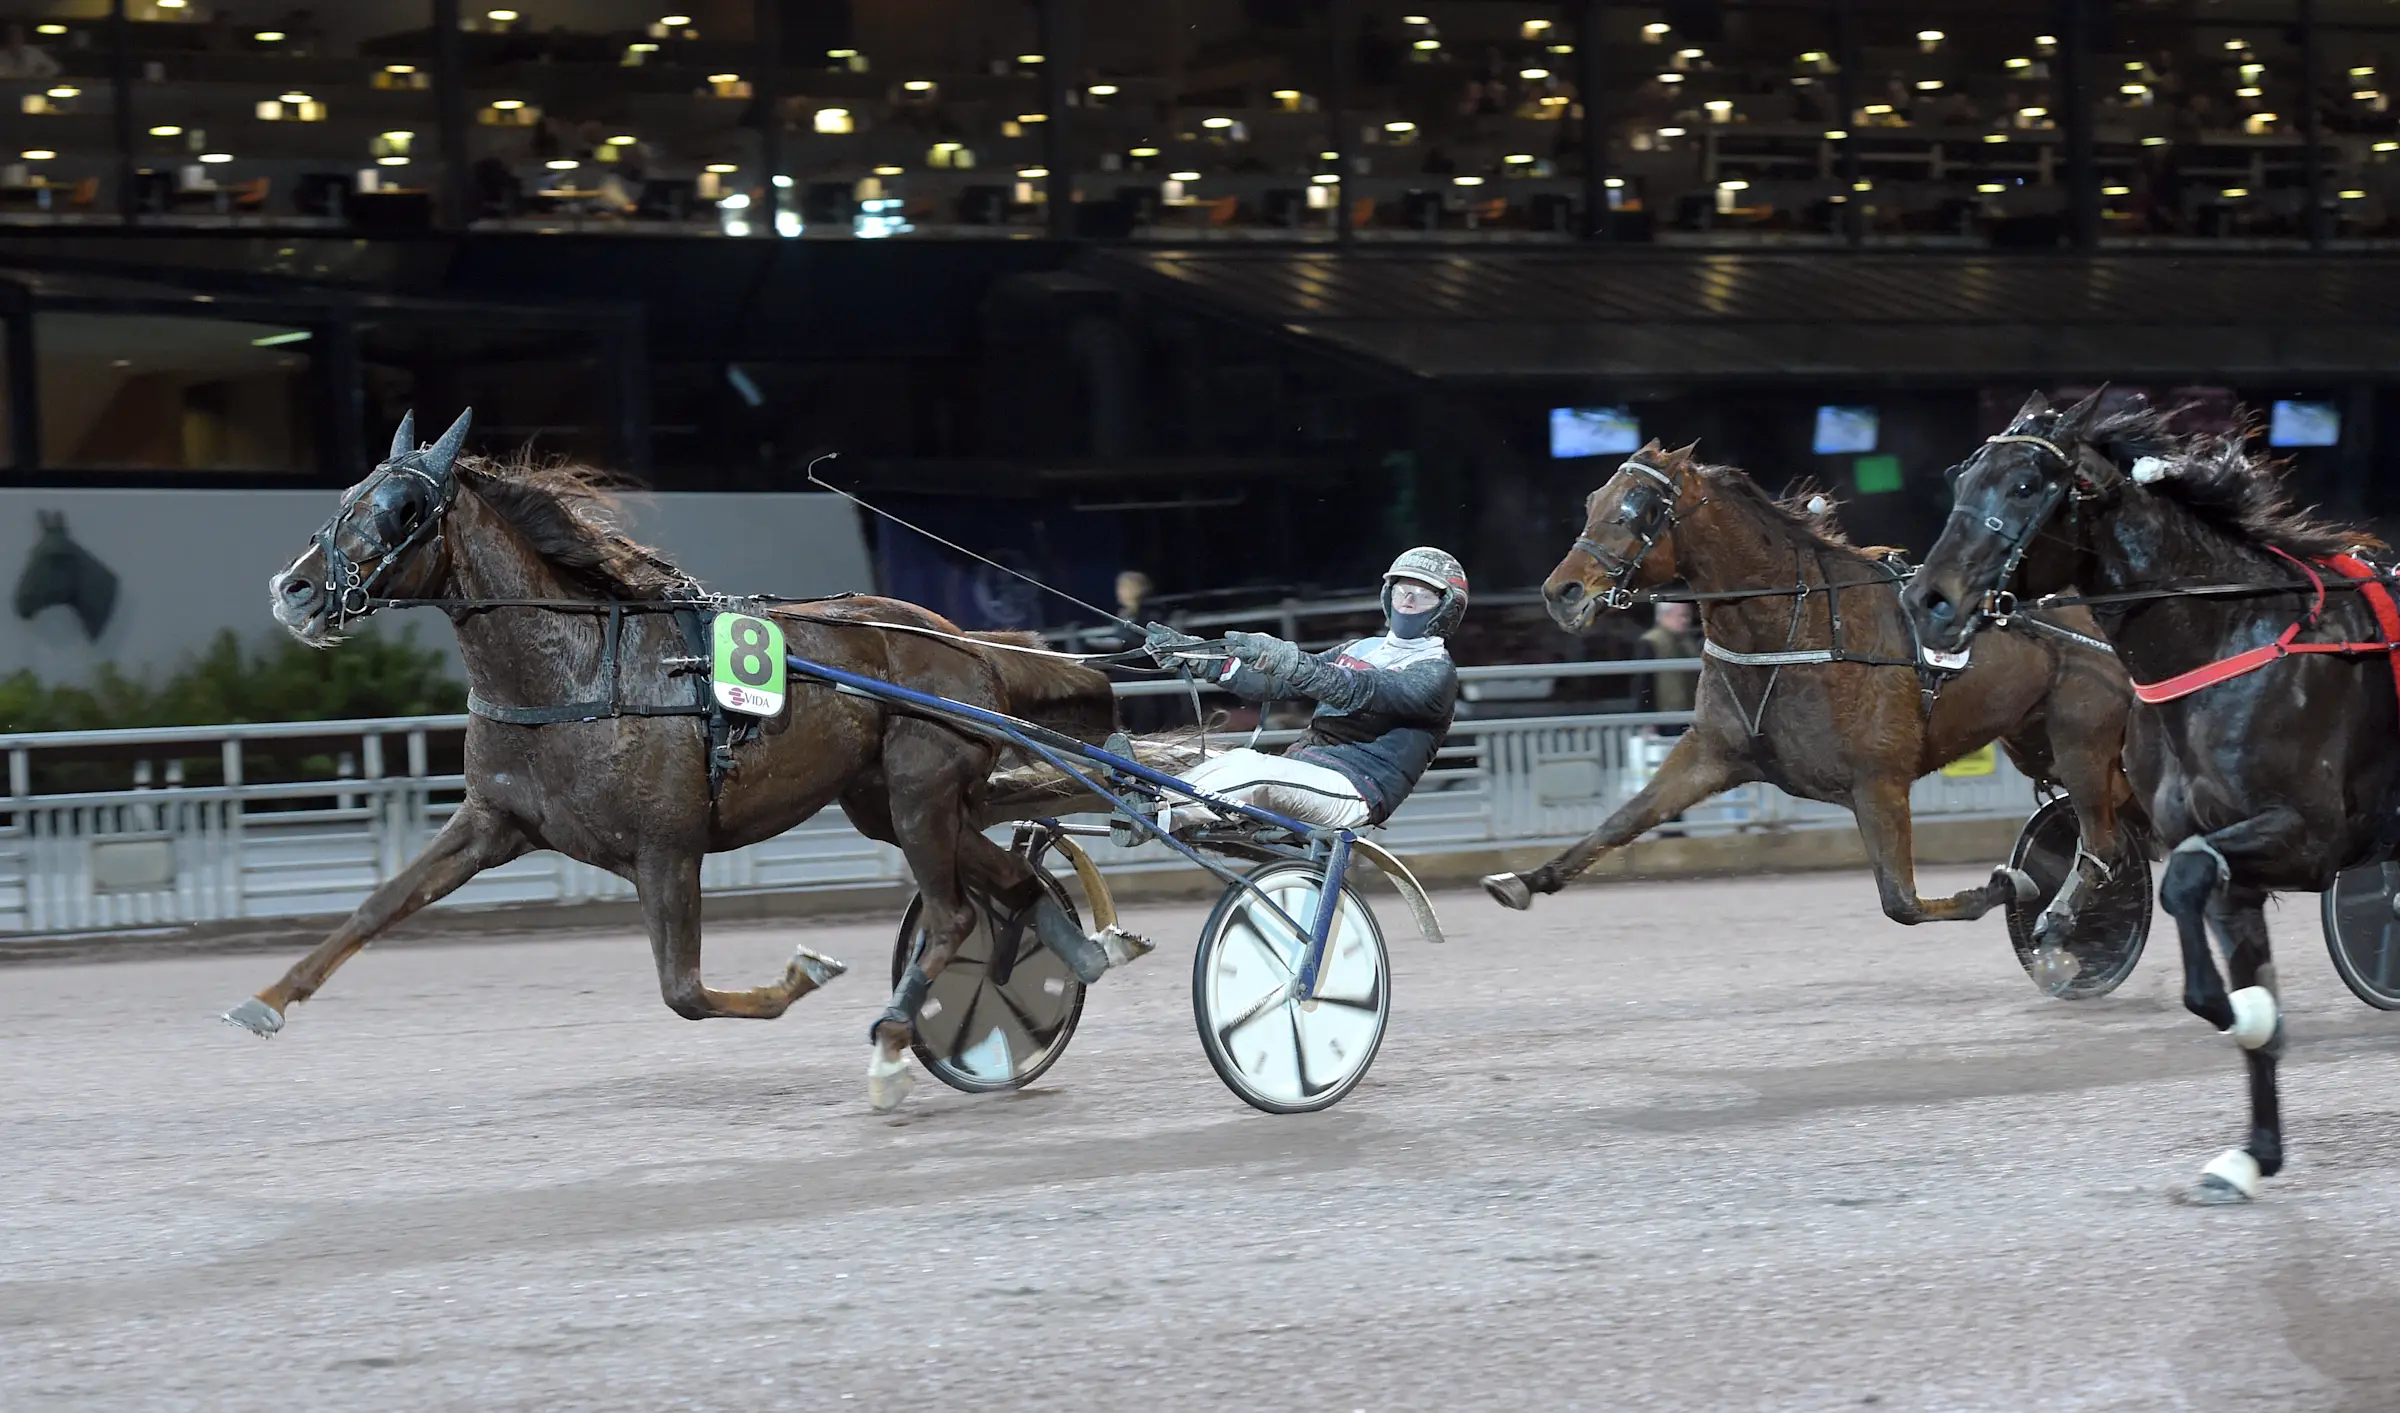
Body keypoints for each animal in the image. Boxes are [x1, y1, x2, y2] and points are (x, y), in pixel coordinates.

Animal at [243, 410, 1132, 1113]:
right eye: (350, 492)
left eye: (402, 507)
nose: (292, 590)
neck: (578, 671)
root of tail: (970, 645)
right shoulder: (493, 820)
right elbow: (379, 903)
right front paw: (265, 1000)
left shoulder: (667, 848)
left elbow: (685, 993)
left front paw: (806, 972)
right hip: (889, 802)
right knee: (1012, 881)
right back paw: (1079, 951)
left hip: (921, 790)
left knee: (950, 915)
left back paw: (890, 1046)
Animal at [1478, 434, 2140, 954]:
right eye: (1593, 501)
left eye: (1636, 509)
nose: (1560, 592)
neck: (1797, 630)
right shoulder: (1711, 752)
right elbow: (1619, 821)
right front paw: (1523, 881)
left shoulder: (1879, 781)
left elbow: (1902, 901)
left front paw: (2009, 884)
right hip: (2033, 740)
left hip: (2080, 736)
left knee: (2103, 841)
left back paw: (2062, 922)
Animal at [1900, 393, 2390, 1199]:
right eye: (1959, 478)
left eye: (2027, 486)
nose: (1927, 601)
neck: (2227, 641)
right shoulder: (2234, 867)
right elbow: (2215, 926)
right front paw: (2253, 1150)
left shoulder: (2313, 837)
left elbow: (2185, 877)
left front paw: (2238, 1013)